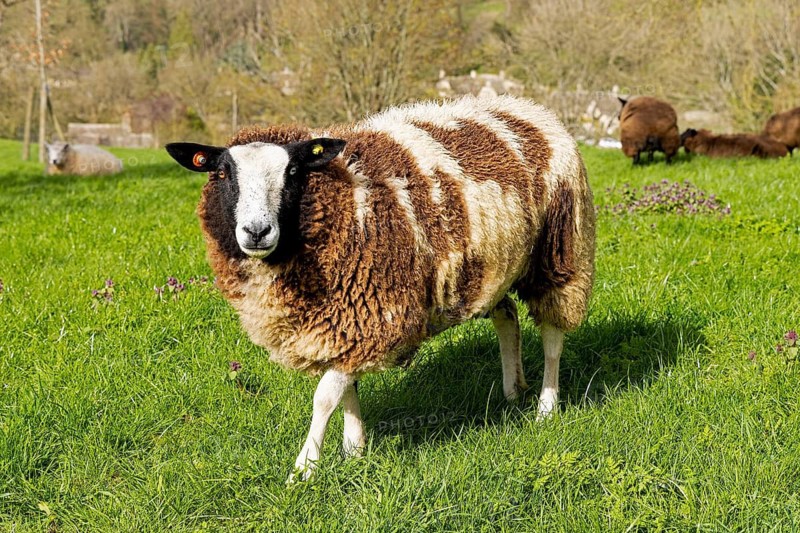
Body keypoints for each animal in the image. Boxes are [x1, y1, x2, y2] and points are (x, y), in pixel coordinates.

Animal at [165, 95, 596, 482]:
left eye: (294, 172)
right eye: (222, 174)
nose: (257, 231)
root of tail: (529, 108)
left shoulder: (367, 313)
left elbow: (325, 396)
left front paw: (304, 469)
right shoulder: (345, 319)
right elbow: (347, 386)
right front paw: (354, 449)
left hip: (562, 249)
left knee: (553, 335)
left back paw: (546, 406)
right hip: (490, 267)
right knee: (507, 317)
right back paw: (512, 390)